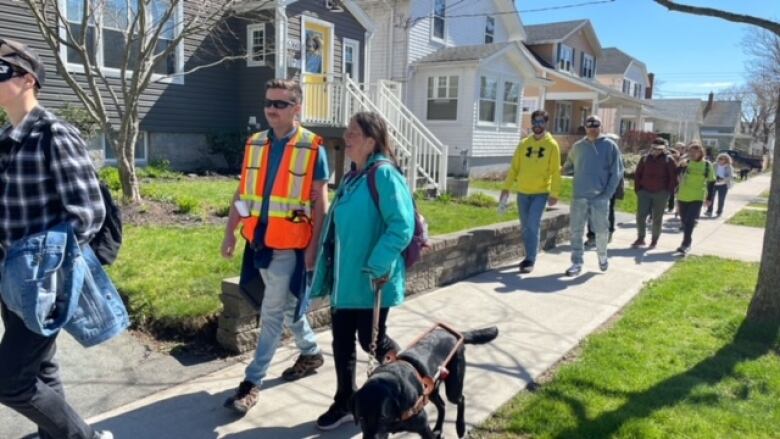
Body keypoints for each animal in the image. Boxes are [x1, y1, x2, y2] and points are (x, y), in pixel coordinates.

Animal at [348, 324, 496, 438]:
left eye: (382, 418)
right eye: (361, 418)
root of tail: (454, 334)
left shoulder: (423, 427)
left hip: (453, 387)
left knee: (460, 399)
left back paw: (460, 427)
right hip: (430, 390)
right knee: (442, 405)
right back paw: (438, 428)